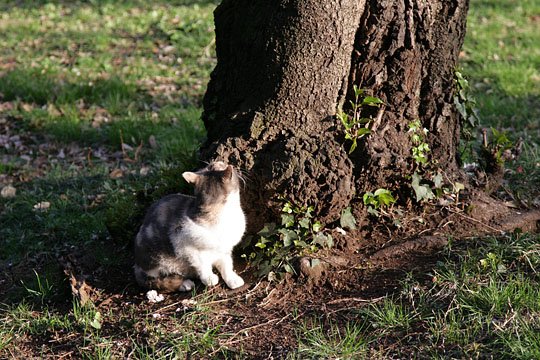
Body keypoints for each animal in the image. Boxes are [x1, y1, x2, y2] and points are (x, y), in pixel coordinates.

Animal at [133, 161, 247, 292]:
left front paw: (232, 279)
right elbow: (202, 264)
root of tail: (137, 265)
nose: (222, 161)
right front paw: (209, 278)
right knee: (157, 279)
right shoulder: (184, 243)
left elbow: (226, 265)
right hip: (153, 258)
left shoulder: (224, 249)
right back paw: (184, 283)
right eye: (221, 164)